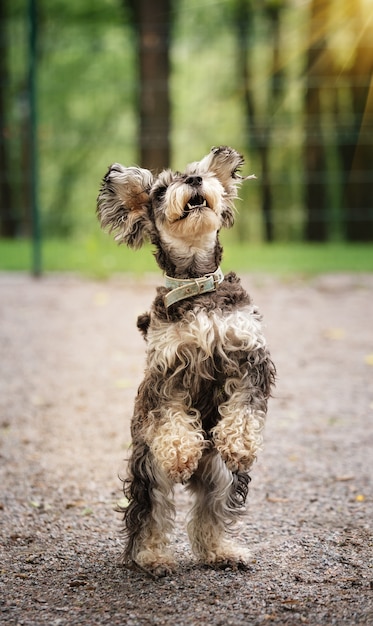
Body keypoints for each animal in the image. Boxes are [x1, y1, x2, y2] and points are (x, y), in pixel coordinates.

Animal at [97, 146, 274, 576]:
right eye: (161, 189)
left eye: (198, 173)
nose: (194, 181)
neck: (197, 285)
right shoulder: (166, 373)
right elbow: (173, 418)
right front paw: (180, 452)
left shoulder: (250, 359)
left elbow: (245, 410)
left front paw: (240, 443)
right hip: (148, 470)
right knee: (149, 514)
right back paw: (152, 557)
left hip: (222, 476)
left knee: (212, 512)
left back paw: (221, 551)